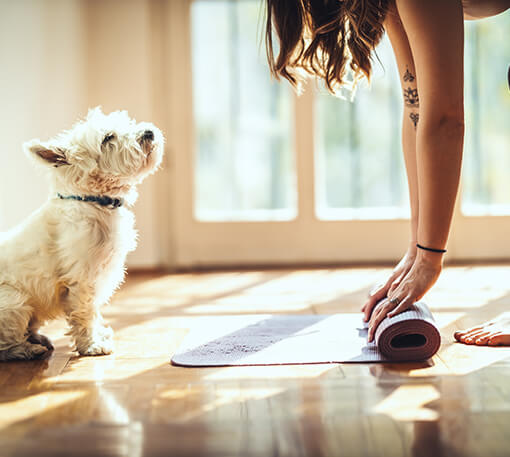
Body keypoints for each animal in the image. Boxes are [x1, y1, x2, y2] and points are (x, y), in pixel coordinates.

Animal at [0, 108, 163, 360]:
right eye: (108, 138)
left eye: (126, 122)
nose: (149, 132)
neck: (93, 201)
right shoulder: (83, 277)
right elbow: (85, 313)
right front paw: (92, 345)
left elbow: (95, 311)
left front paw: (100, 335)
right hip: (14, 301)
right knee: (6, 344)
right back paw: (28, 349)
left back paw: (37, 338)